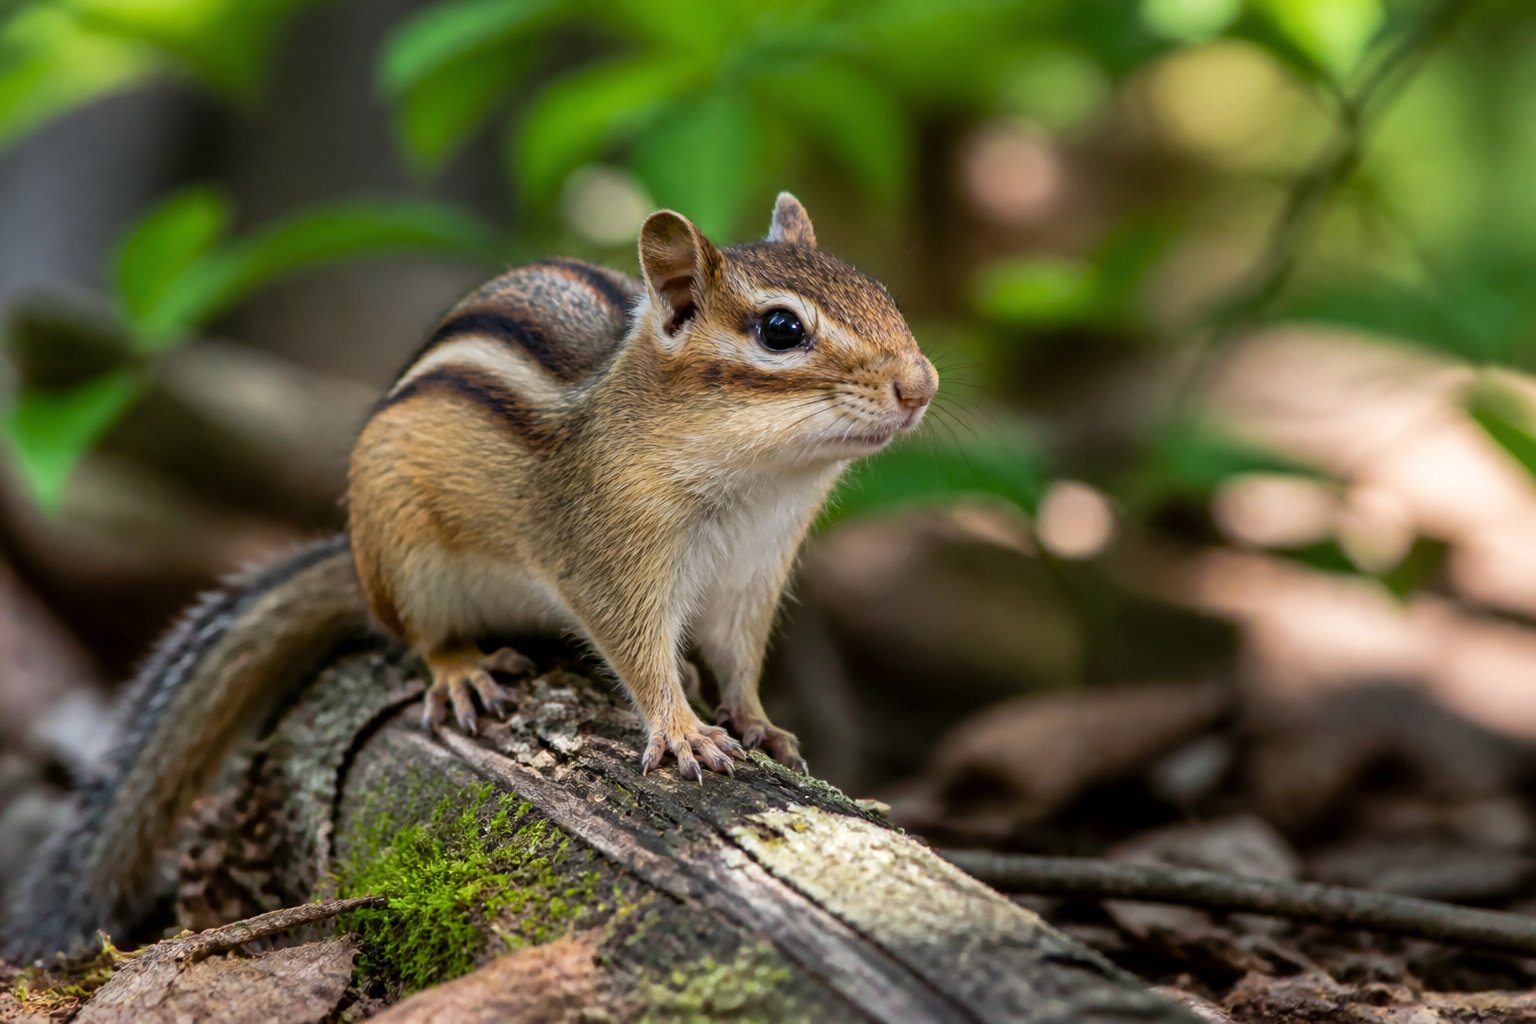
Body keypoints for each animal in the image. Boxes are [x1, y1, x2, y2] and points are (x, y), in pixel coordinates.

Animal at [1, 193, 937, 960]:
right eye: (780, 330)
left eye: (885, 293)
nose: (920, 384)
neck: (756, 484)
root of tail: (358, 569)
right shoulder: (607, 554)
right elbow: (639, 654)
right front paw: (681, 729)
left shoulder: (754, 576)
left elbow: (741, 661)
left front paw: (758, 724)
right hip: (405, 556)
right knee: (420, 636)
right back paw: (461, 673)